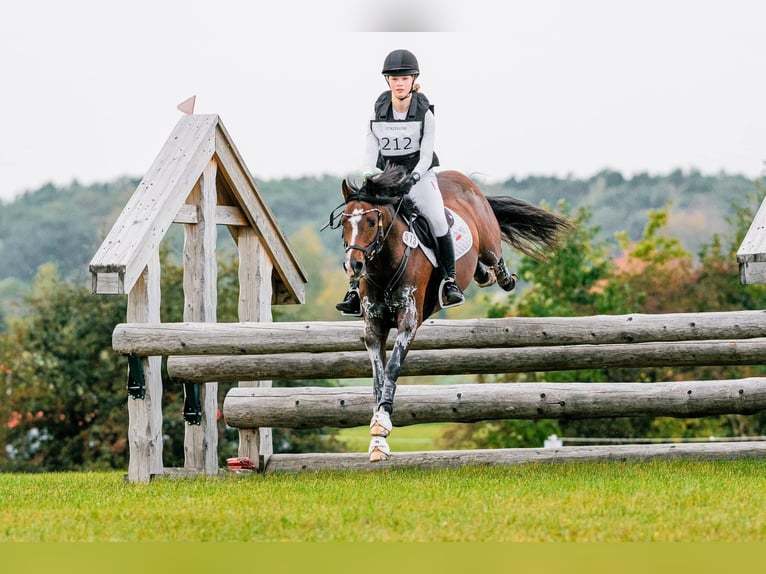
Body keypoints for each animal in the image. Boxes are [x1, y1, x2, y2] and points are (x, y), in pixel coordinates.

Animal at [328, 165, 572, 464]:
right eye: (344, 223)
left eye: (372, 222)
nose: (354, 266)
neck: (386, 264)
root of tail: (461, 178)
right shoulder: (374, 328)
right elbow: (378, 377)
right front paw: (378, 440)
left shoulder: (409, 323)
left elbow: (393, 368)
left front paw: (381, 425)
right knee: (479, 266)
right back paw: (481, 275)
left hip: (488, 239)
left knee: (494, 255)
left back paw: (501, 277)